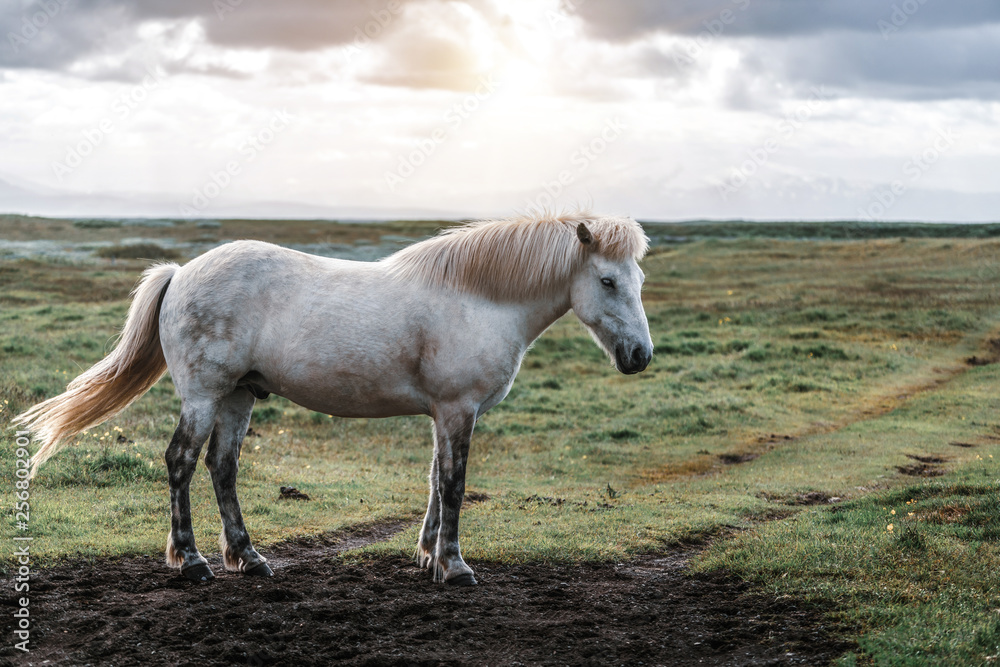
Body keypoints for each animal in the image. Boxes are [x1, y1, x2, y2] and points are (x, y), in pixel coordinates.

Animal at [19, 211, 656, 588]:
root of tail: (181, 273)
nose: (640, 356)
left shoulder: (443, 414)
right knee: (181, 462)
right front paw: (453, 566)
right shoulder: (458, 410)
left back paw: (248, 557)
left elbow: (434, 478)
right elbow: (453, 484)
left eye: (639, 280)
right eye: (607, 281)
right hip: (204, 396)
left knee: (222, 468)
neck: (477, 297)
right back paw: (193, 560)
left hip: (238, 397)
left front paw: (427, 555)